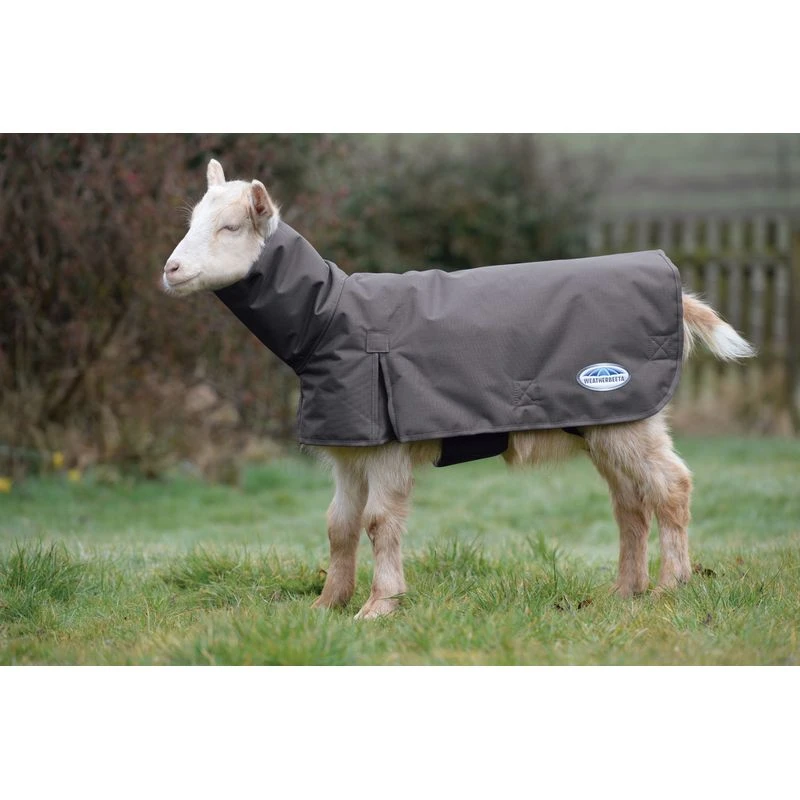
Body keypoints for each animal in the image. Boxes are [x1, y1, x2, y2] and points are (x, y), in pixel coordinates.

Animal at [163, 159, 755, 619]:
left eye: (230, 227)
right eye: (192, 222)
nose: (170, 269)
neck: (327, 319)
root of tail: (675, 290)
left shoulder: (386, 446)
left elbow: (378, 523)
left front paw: (378, 607)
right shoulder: (348, 448)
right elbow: (339, 526)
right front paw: (327, 605)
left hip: (630, 413)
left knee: (671, 487)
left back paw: (669, 587)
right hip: (605, 421)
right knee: (629, 503)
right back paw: (623, 592)